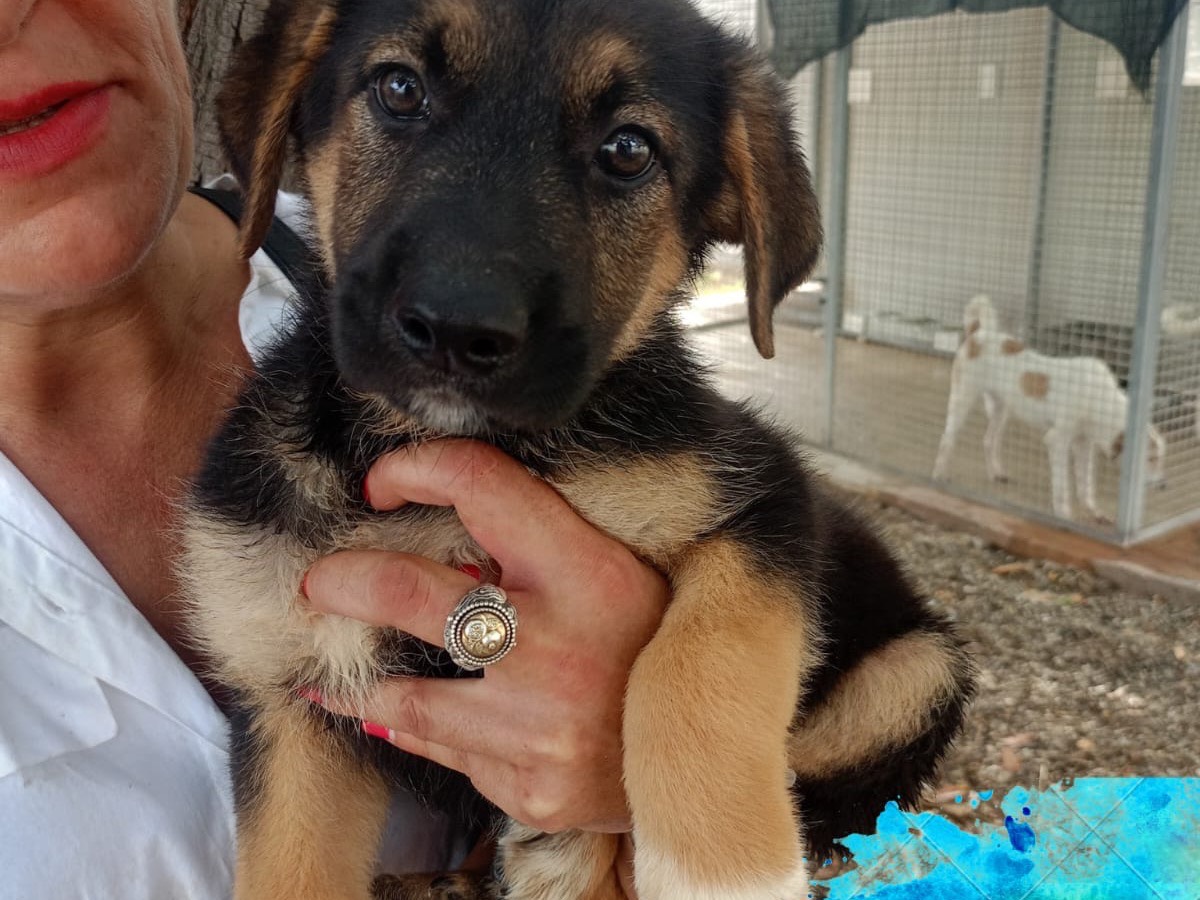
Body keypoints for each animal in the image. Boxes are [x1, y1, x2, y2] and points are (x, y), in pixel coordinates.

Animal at [184, 1, 974, 900]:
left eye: (628, 149)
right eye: (398, 88)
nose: (457, 328)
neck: (435, 449)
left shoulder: (763, 494)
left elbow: (702, 657)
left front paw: (723, 866)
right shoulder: (292, 697)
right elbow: (287, 868)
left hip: (920, 670)